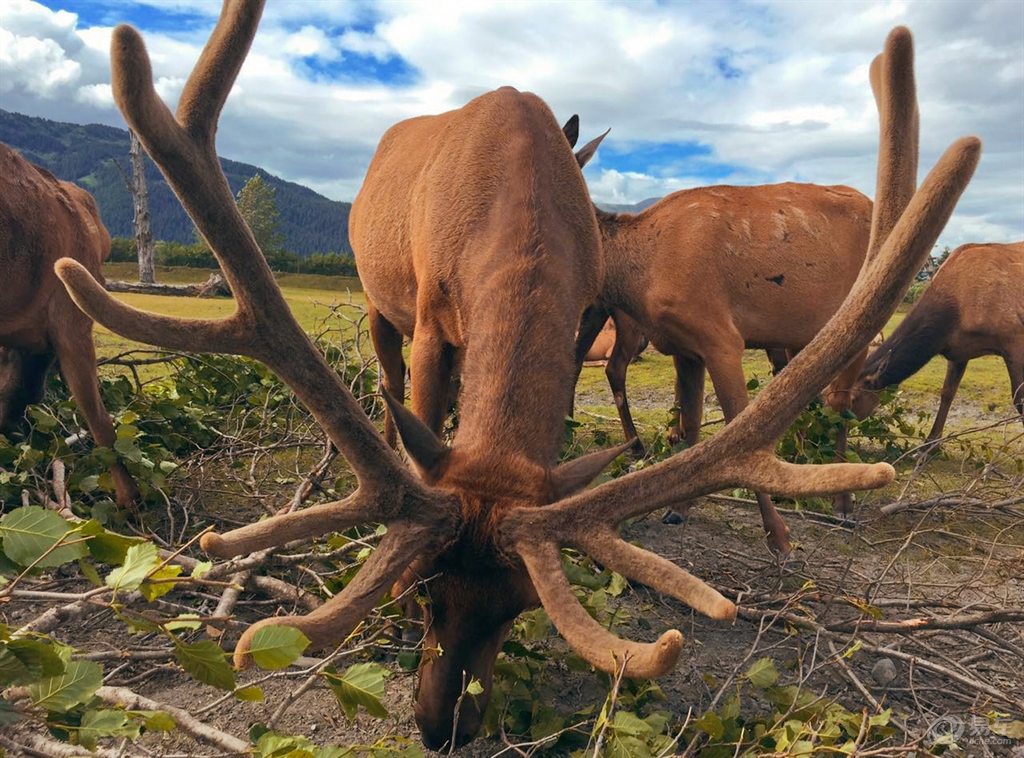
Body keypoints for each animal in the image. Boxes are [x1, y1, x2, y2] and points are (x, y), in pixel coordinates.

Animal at [51, 1, 978, 745]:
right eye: (425, 586)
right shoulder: (429, 318)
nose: (441, 728)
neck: (518, 198)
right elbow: (425, 420)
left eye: (523, 605)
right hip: (381, 303)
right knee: (393, 393)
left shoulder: (576, 326)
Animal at [847, 242, 1024, 440]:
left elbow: (1019, 400)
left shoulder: (1014, 337)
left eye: (853, 399)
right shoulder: (959, 350)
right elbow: (947, 393)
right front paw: (930, 443)